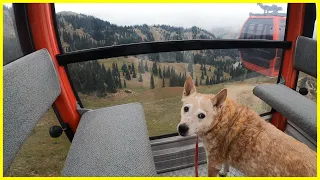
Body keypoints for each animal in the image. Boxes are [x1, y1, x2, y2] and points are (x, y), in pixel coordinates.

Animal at [178, 76, 318, 176]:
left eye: (201, 115)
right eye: (186, 108)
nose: (182, 128)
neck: (221, 120)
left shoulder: (213, 162)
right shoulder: (224, 152)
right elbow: (226, 163)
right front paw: (224, 171)